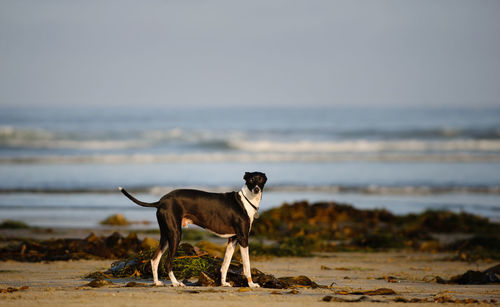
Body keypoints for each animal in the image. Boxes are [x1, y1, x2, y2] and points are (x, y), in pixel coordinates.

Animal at [118, 172, 266, 288]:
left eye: (261, 180)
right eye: (251, 180)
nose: (256, 190)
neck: (245, 201)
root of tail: (161, 201)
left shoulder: (233, 239)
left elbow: (225, 265)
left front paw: (224, 283)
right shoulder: (243, 239)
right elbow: (246, 265)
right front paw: (251, 284)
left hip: (166, 235)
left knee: (154, 259)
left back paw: (157, 282)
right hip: (176, 235)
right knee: (167, 263)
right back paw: (175, 283)